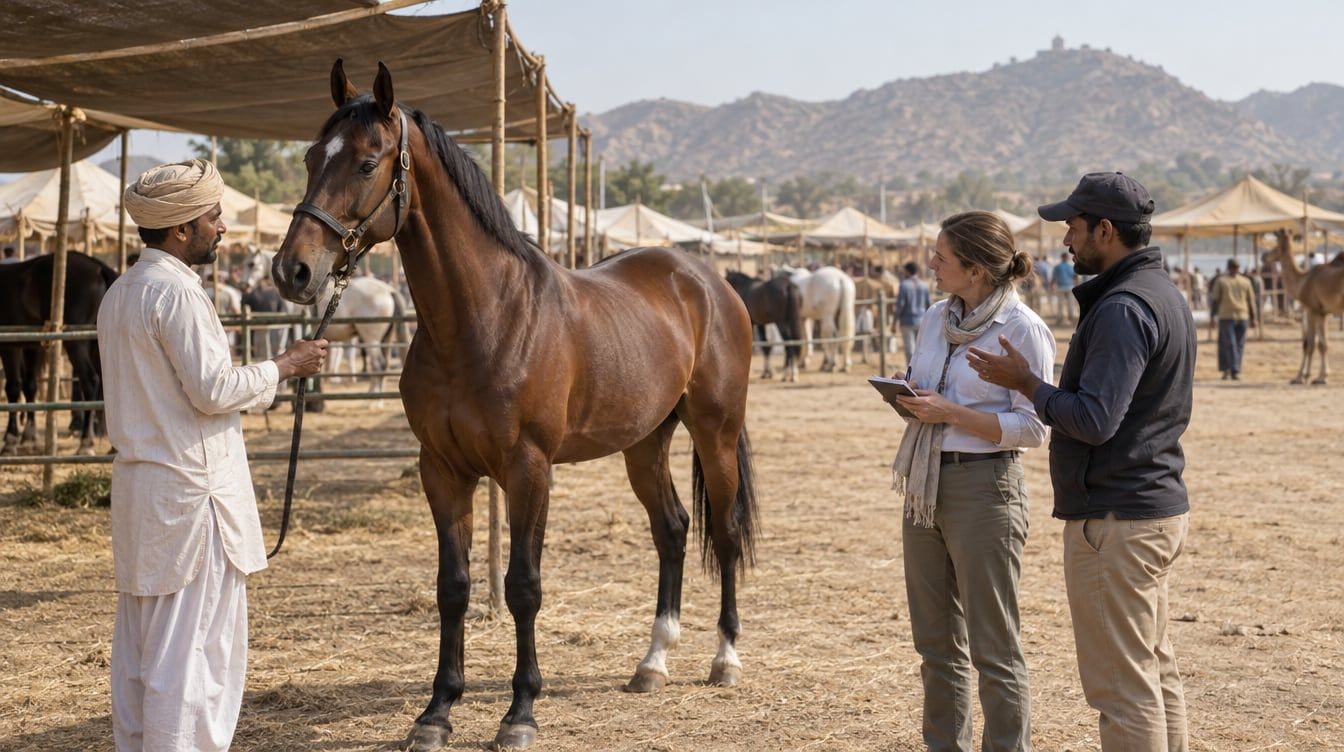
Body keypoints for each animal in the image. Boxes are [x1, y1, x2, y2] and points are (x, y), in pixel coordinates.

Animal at [0, 252, 116, 455]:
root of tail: (99, 267)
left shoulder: (10, 347)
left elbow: (13, 388)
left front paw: (10, 440)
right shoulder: (32, 347)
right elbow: (30, 386)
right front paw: (29, 434)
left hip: (76, 343)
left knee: (90, 381)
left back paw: (85, 442)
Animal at [270, 61, 760, 750]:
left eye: (367, 163)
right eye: (312, 156)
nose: (293, 271)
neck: (483, 319)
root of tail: (708, 280)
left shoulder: (529, 470)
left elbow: (523, 586)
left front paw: (520, 712)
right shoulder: (443, 470)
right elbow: (453, 587)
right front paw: (437, 711)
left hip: (715, 432)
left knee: (725, 529)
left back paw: (725, 659)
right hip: (645, 442)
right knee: (672, 529)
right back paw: (653, 662)